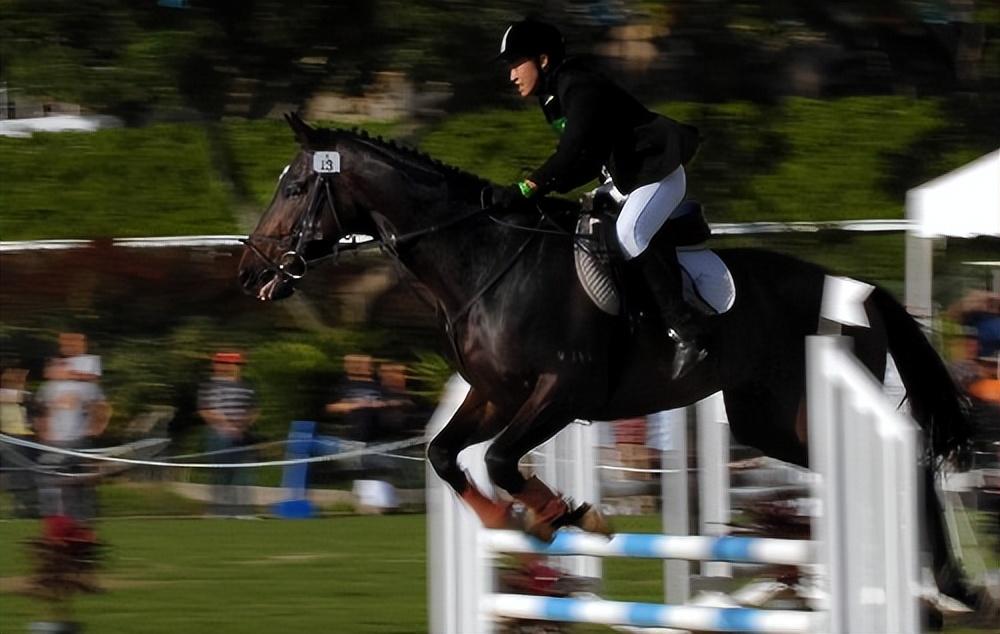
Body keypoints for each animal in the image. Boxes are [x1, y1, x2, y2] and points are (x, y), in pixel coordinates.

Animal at [238, 115, 980, 608]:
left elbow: (499, 459)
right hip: (770, 420)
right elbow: (446, 454)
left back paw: (954, 588)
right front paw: (502, 522)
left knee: (911, 465)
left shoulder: (562, 392)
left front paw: (562, 516)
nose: (250, 274)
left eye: (297, 188)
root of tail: (857, 289)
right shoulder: (496, 394)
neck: (485, 262)